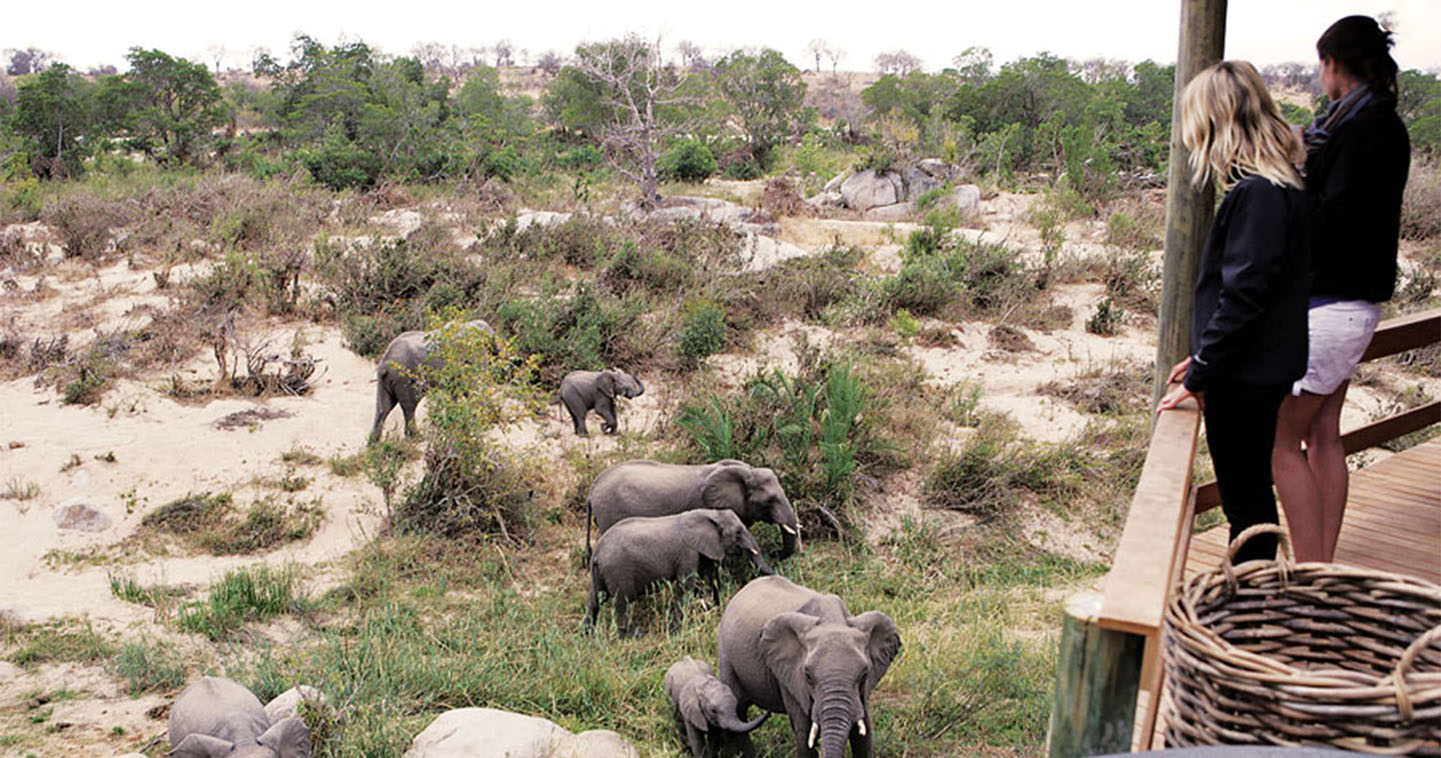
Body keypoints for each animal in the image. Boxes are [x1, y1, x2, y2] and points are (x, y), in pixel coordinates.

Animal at [366, 319, 495, 446]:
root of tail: (384, 364)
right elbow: (472, 385)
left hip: (386, 381)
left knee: (384, 407)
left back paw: (373, 444)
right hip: (404, 377)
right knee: (410, 405)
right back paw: (416, 437)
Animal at [582, 507, 772, 639]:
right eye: (738, 532)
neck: (709, 513)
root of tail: (596, 552)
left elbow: (709, 577)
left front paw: (717, 612)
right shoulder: (687, 552)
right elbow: (686, 585)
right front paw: (675, 632)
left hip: (601, 573)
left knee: (595, 600)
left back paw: (586, 636)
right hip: (618, 570)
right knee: (623, 601)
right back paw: (633, 637)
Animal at [717, 576, 904, 758]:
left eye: (864, 675)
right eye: (807, 676)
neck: (831, 620)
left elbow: (864, 735)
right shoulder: (790, 677)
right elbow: (804, 733)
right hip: (726, 655)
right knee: (739, 713)